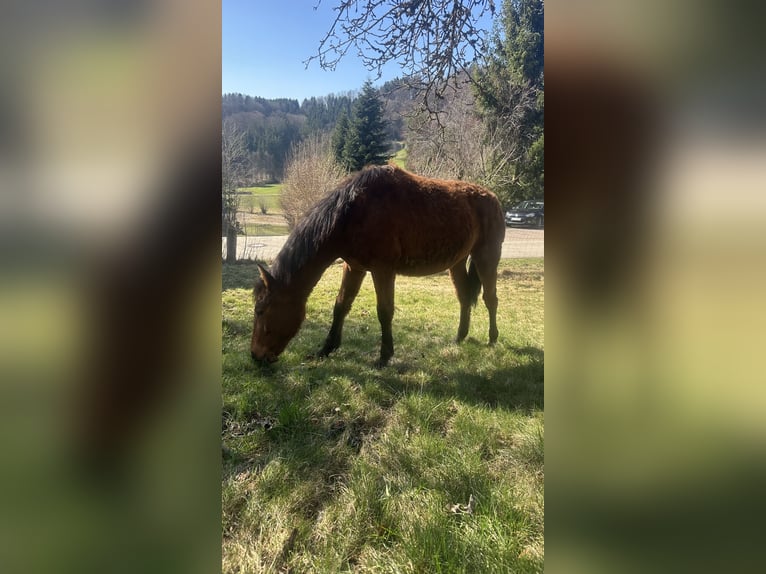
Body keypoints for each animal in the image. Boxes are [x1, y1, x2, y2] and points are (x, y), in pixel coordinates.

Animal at [251, 164, 505, 366]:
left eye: (260, 310)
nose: (255, 356)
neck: (352, 213)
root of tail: (493, 197)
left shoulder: (383, 270)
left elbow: (384, 311)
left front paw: (384, 356)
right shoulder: (354, 267)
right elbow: (341, 306)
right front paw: (326, 349)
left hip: (487, 256)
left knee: (491, 299)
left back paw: (493, 339)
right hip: (457, 262)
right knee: (464, 297)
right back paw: (460, 337)